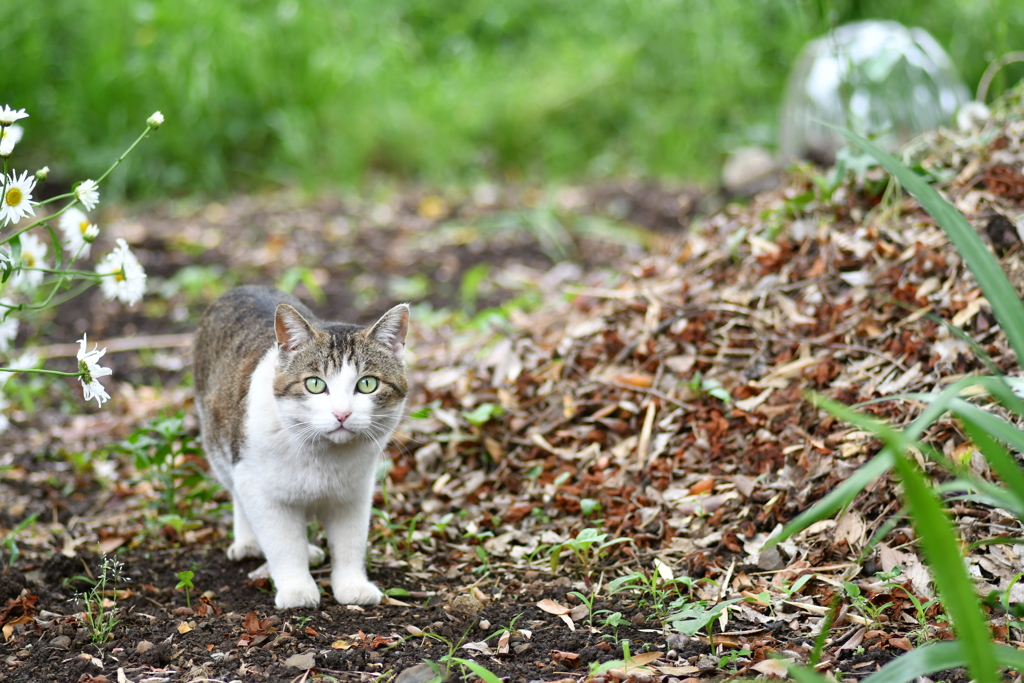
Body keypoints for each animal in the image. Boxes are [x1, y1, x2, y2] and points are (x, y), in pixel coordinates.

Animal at [192, 284, 407, 610]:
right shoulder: (259, 488)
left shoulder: (354, 492)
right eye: (315, 385)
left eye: (367, 384)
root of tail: (245, 286)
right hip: (220, 446)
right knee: (237, 495)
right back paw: (249, 543)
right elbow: (283, 544)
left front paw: (352, 585)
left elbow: (350, 541)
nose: (342, 414)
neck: (323, 454)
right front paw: (297, 589)